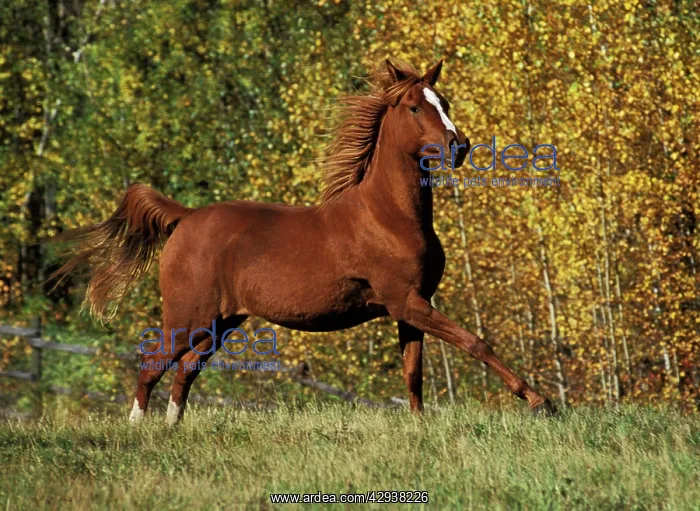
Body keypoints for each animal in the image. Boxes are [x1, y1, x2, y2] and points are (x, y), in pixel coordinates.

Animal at [51, 59, 556, 425]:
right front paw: (540, 402)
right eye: (416, 107)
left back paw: (173, 429)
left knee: (185, 371)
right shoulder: (405, 301)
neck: (389, 216)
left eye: (444, 100)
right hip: (187, 316)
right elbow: (475, 343)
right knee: (152, 365)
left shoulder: (412, 305)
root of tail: (187, 218)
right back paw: (138, 432)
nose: (459, 146)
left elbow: (413, 373)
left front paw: (419, 426)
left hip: (221, 322)